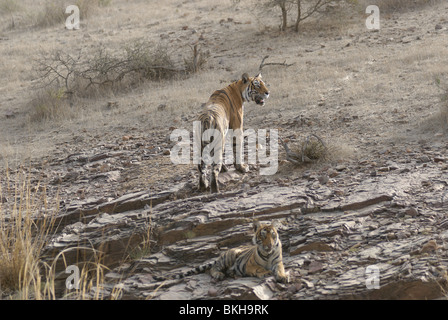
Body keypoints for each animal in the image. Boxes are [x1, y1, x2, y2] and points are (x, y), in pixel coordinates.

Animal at [153, 221, 288, 284]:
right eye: (263, 236)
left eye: (273, 235)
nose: (269, 245)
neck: (268, 254)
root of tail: (221, 255)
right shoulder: (250, 264)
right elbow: (259, 268)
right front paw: (265, 272)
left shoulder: (278, 262)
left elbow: (280, 269)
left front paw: (283, 276)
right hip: (231, 255)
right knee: (213, 269)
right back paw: (219, 274)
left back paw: (233, 274)